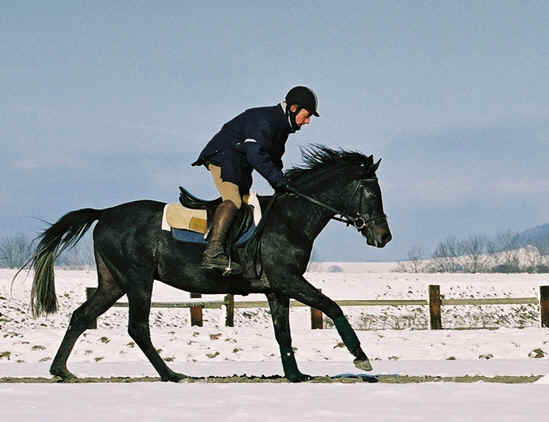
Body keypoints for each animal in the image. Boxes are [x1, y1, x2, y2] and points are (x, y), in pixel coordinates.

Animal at [21, 145, 392, 382]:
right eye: (372, 192)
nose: (384, 237)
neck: (290, 219)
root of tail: (104, 214)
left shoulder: (277, 288)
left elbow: (283, 332)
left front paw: (296, 375)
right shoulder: (289, 280)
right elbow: (331, 307)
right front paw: (361, 357)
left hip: (113, 282)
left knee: (82, 316)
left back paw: (61, 370)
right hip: (138, 279)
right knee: (138, 327)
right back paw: (171, 375)